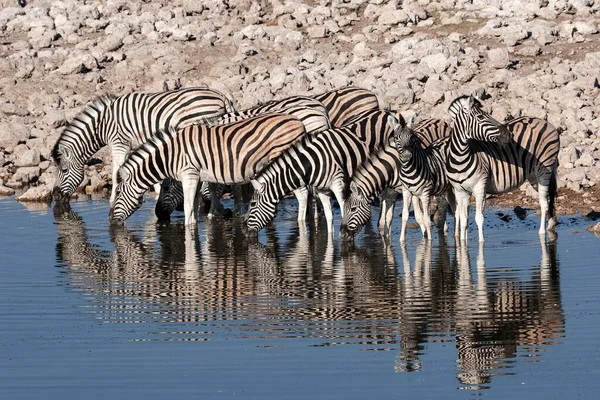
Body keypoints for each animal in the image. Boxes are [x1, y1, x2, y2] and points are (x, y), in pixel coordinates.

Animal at [51, 88, 234, 206]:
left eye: (64, 170)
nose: (56, 197)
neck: (102, 125)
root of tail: (221, 95)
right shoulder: (136, 143)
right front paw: (157, 191)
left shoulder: (119, 142)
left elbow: (116, 171)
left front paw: (112, 198)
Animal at [109, 113, 304, 225]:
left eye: (118, 192)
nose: (110, 219)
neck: (172, 155)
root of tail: (298, 121)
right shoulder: (197, 176)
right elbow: (195, 206)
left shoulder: (189, 175)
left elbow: (189, 208)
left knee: (303, 194)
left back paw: (302, 223)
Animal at [243, 108, 404, 236]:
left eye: (252, 204)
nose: (244, 232)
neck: (313, 163)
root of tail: (386, 111)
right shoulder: (322, 190)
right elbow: (329, 217)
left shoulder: (338, 184)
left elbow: (343, 209)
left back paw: (381, 223)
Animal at [442, 95, 560, 242]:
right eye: (480, 117)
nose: (508, 135)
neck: (460, 158)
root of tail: (545, 122)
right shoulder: (460, 191)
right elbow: (464, 220)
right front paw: (462, 244)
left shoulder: (480, 187)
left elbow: (479, 218)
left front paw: (481, 243)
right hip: (534, 176)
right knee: (548, 200)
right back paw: (551, 224)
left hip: (544, 170)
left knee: (544, 204)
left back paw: (542, 233)